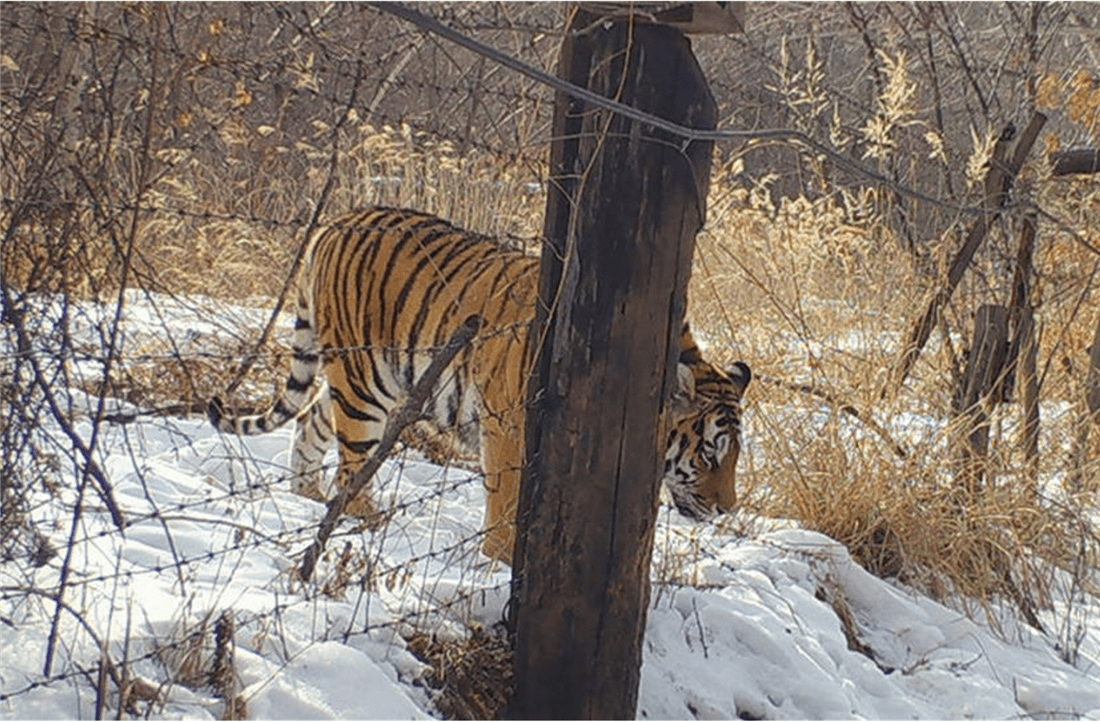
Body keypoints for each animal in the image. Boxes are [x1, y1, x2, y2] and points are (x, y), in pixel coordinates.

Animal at [207, 205, 748, 561]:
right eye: (709, 454)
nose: (726, 510)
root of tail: (337, 220)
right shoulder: (508, 430)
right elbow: (506, 505)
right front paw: (501, 561)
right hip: (364, 387)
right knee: (352, 464)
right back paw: (365, 522)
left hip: (370, 381)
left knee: (312, 422)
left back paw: (307, 499)